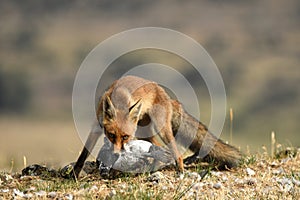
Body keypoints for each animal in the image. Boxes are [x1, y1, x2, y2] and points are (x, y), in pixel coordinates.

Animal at [73, 75, 241, 178]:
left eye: (125, 136)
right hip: (145, 132)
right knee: (159, 148)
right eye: (111, 135)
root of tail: (167, 96)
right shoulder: (96, 127)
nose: (115, 154)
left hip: (161, 129)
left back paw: (179, 170)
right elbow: (83, 155)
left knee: (175, 152)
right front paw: (73, 175)